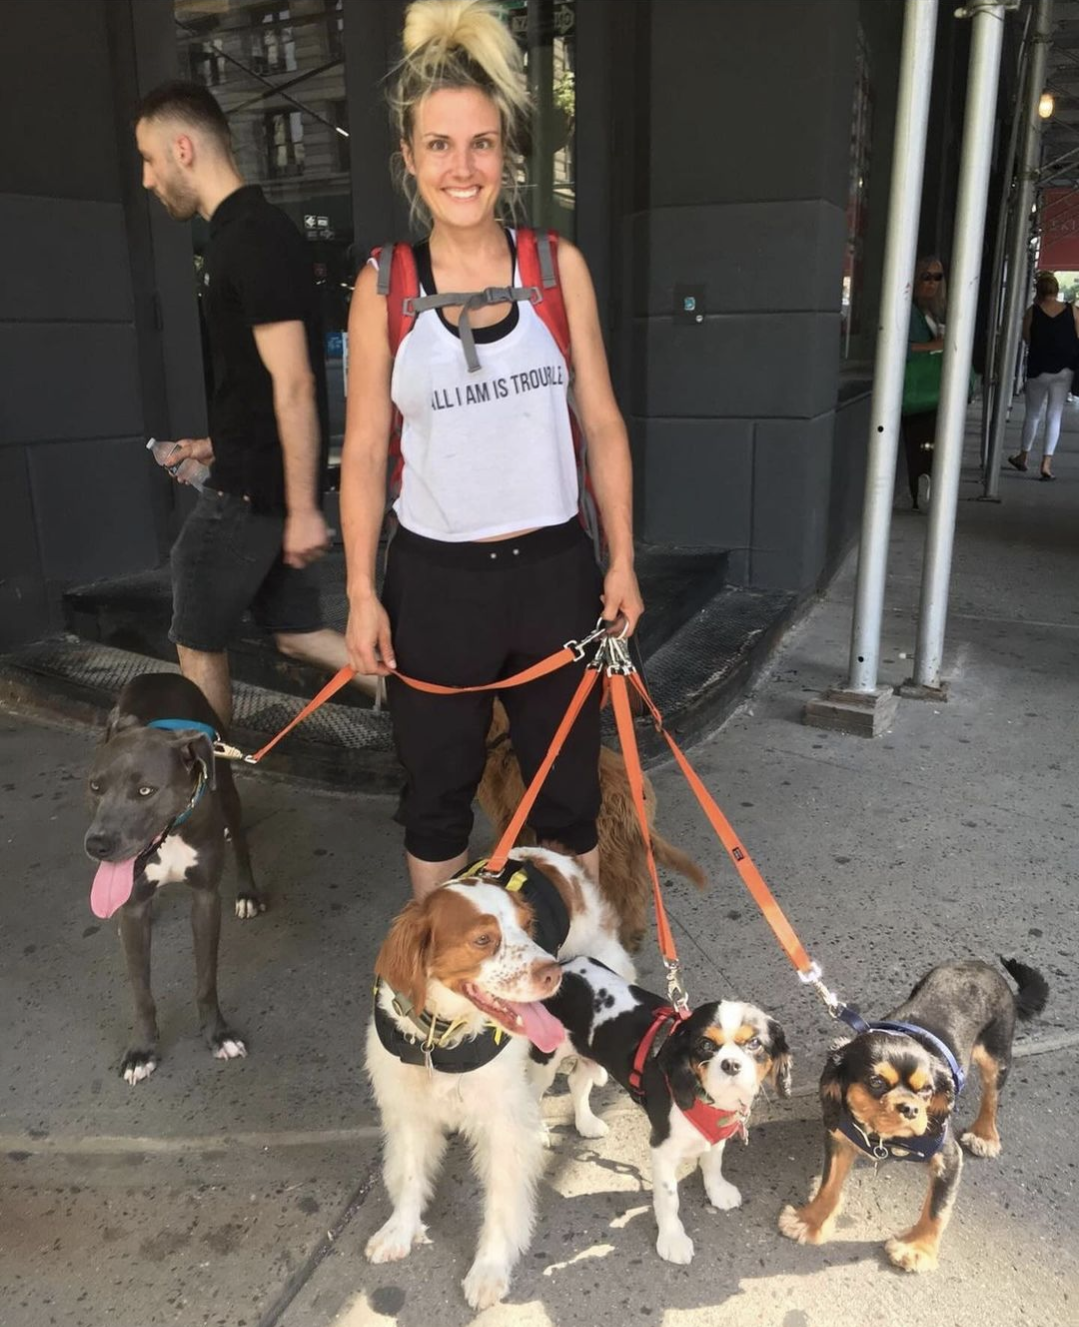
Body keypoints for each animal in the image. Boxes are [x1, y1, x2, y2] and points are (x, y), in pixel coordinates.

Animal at [81, 679, 262, 1082]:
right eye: (96, 787)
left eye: (145, 791)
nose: (96, 845)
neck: (172, 832)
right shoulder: (133, 908)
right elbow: (142, 993)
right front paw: (141, 1050)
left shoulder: (206, 899)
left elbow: (207, 980)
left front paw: (217, 1035)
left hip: (228, 789)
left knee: (242, 840)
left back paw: (248, 893)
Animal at [475, 700, 700, 950]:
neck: (503, 738)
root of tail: (628, 797)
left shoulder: (508, 819)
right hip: (629, 848)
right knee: (638, 887)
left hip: (607, 848)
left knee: (623, 890)